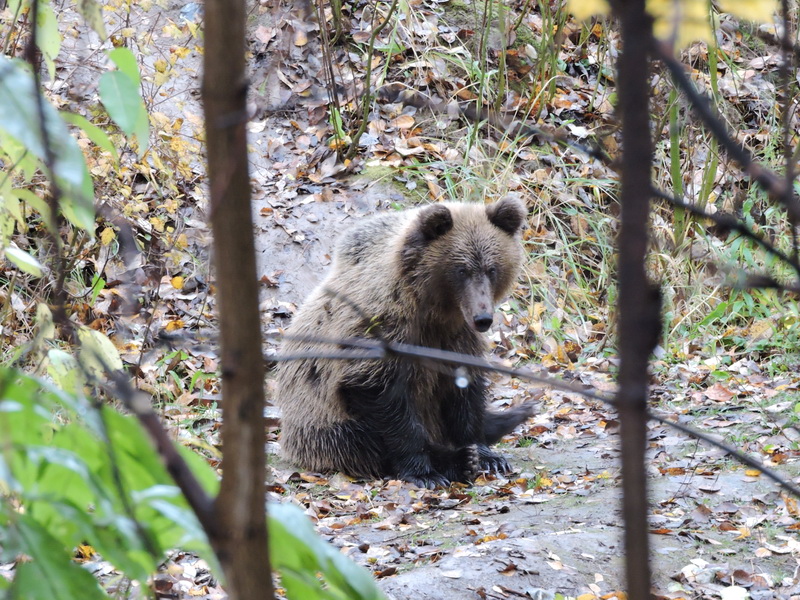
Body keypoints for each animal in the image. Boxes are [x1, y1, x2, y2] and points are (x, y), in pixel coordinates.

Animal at [276, 197, 532, 488]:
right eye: (461, 269)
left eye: (492, 269)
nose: (483, 318)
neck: (432, 310)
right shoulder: (382, 333)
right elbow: (387, 404)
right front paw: (427, 471)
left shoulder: (457, 338)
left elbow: (464, 392)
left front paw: (486, 455)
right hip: (319, 422)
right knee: (358, 440)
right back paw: (455, 461)